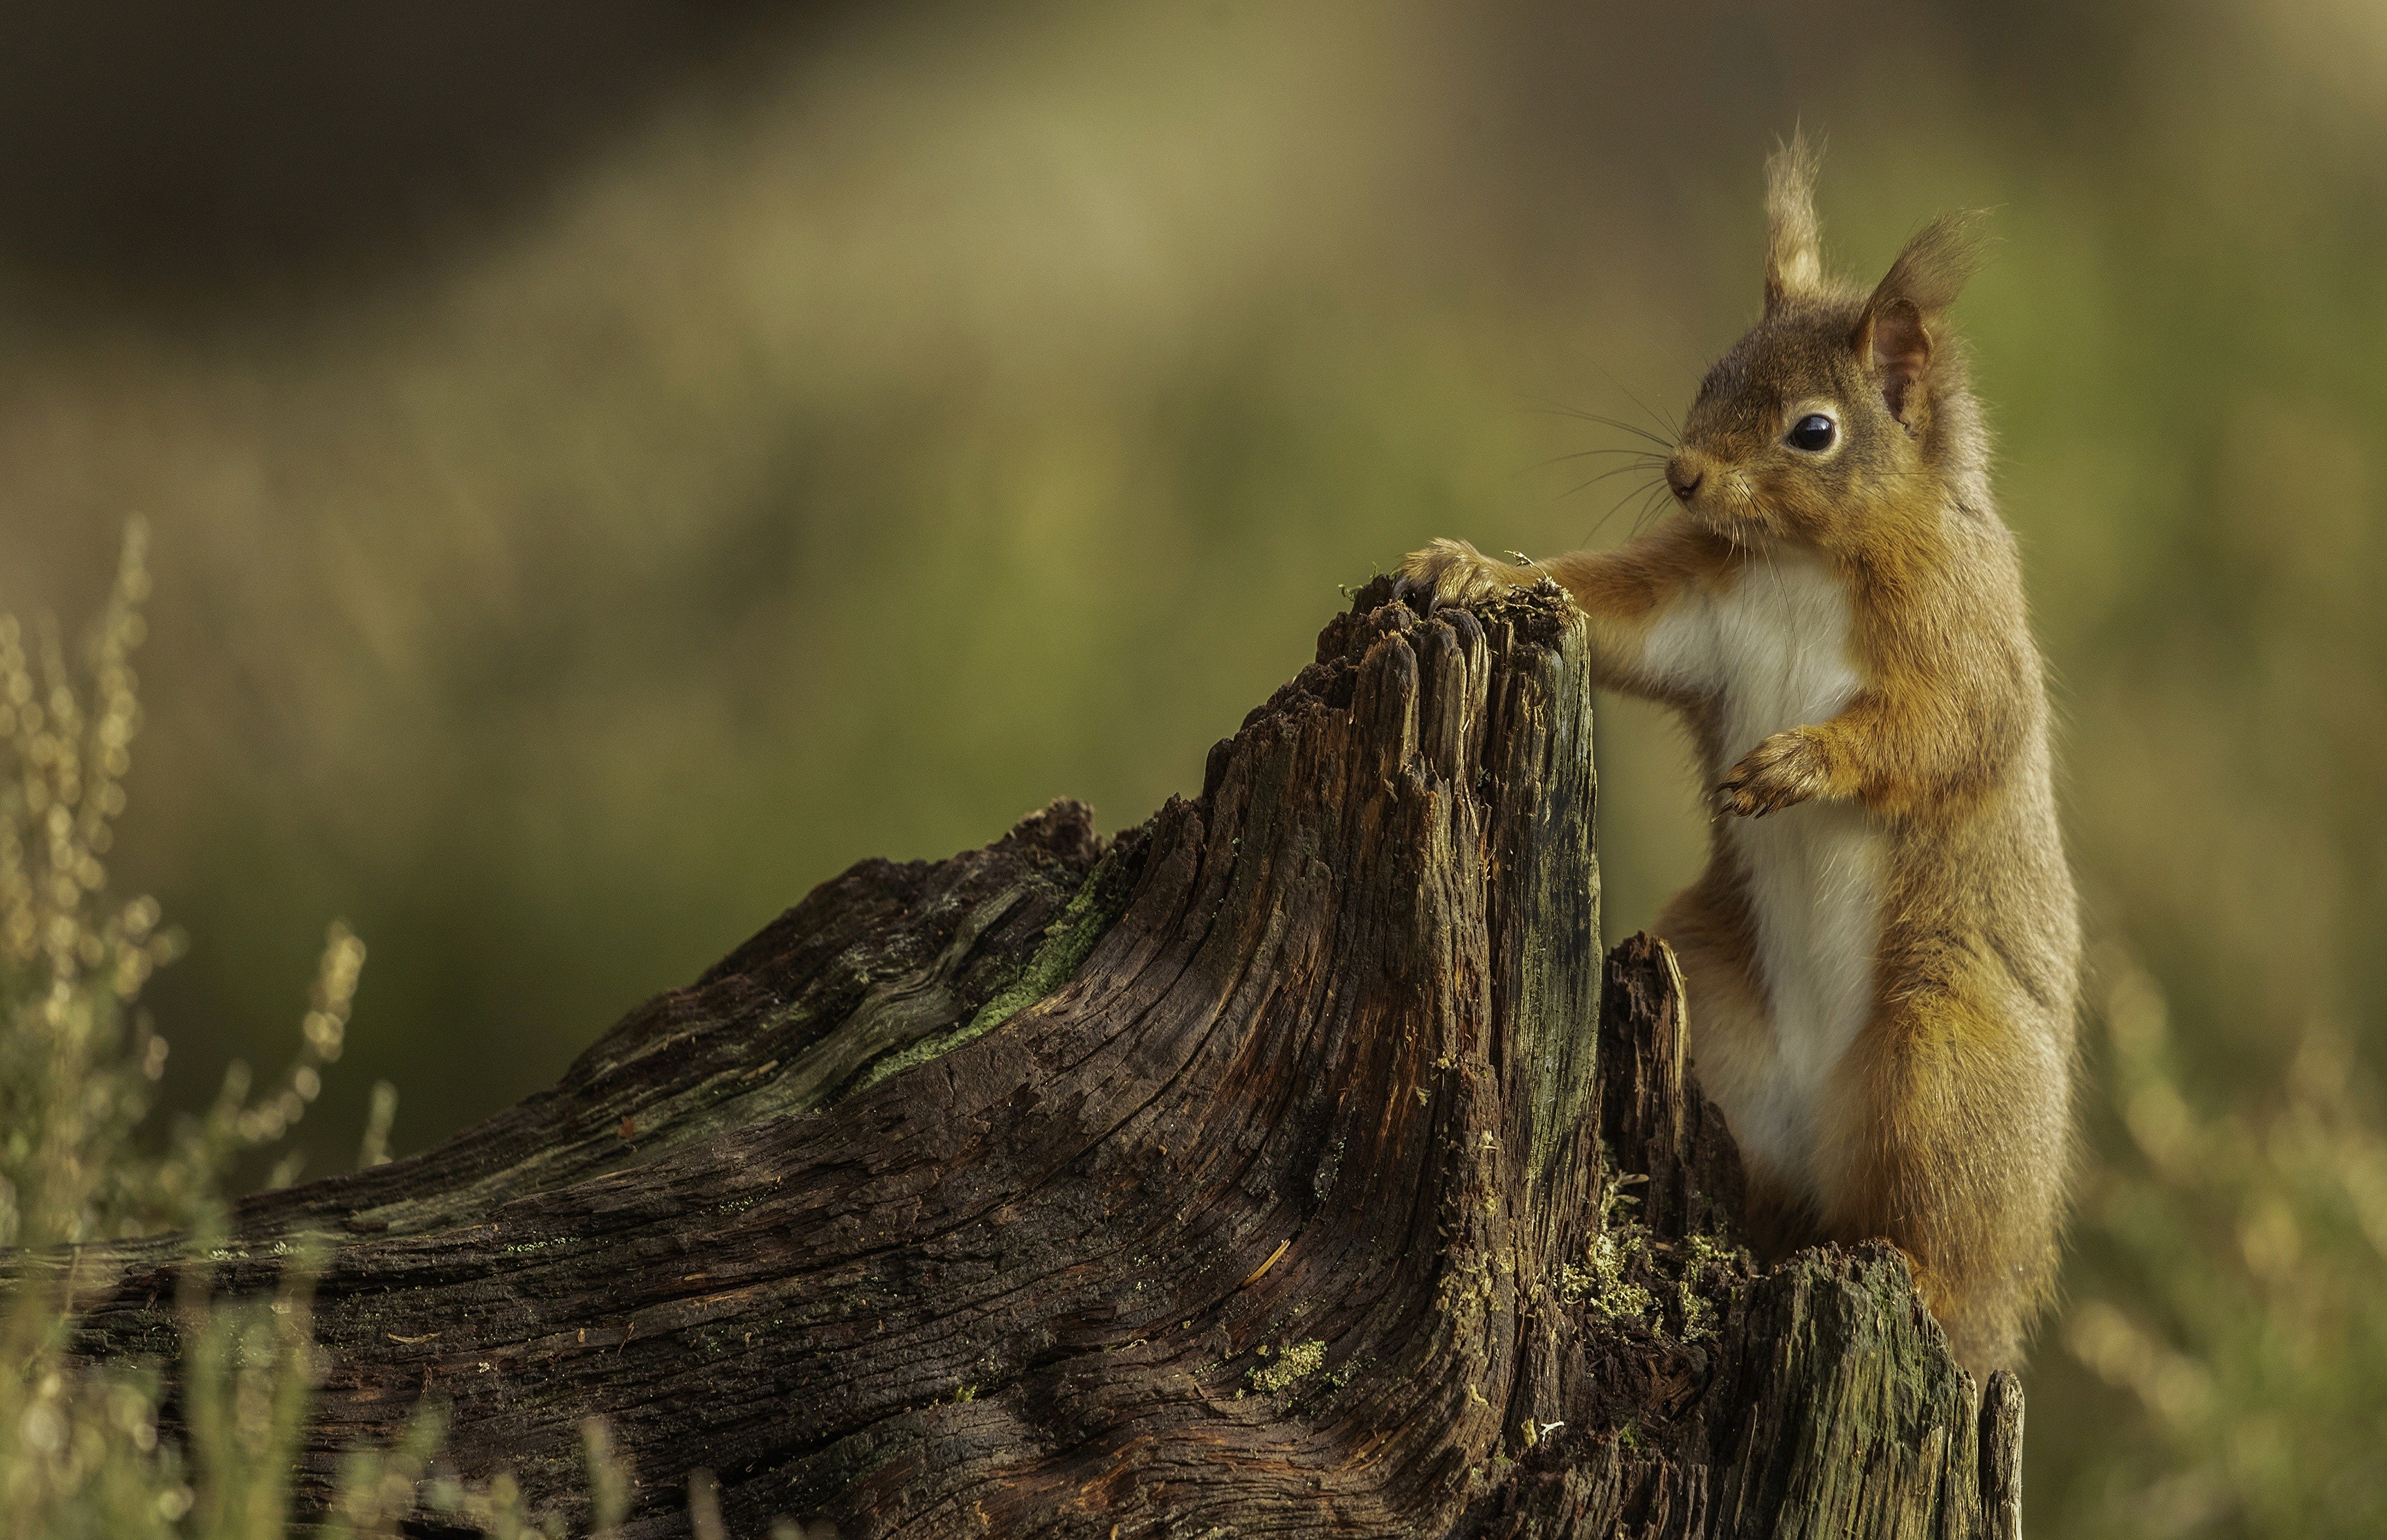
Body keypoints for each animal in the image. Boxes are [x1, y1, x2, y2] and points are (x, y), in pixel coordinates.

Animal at [1397, 135, 2078, 1375]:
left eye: (1815, 429)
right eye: (1713, 373)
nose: (1683, 475)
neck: (1804, 559)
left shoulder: (1966, 641)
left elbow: (1943, 731)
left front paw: (1799, 763)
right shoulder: (1695, 608)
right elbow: (1604, 606)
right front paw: (1479, 567)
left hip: (1949, 1064)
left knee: (1941, 1242)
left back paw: (1923, 1277)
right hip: (1711, 1002)